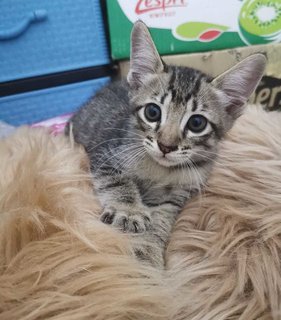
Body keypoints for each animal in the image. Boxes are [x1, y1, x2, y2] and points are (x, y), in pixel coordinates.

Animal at [67, 21, 264, 268]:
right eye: (152, 112)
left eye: (197, 123)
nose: (166, 146)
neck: (160, 170)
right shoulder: (105, 152)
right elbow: (117, 181)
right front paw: (129, 211)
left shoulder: (176, 195)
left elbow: (162, 218)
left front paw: (148, 251)